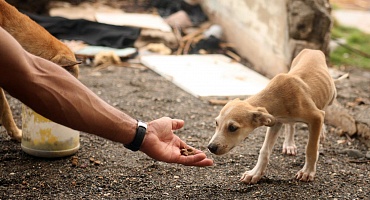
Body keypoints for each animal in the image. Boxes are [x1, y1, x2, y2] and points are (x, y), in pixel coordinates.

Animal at [208, 49, 338, 184]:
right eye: (216, 123)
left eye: (233, 128)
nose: (211, 147)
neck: (277, 95)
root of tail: (312, 50)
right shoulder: (275, 122)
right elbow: (264, 151)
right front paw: (255, 173)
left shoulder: (316, 117)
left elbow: (311, 148)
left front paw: (307, 172)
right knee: (291, 125)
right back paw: (289, 144)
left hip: (332, 96)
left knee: (324, 108)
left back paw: (321, 133)